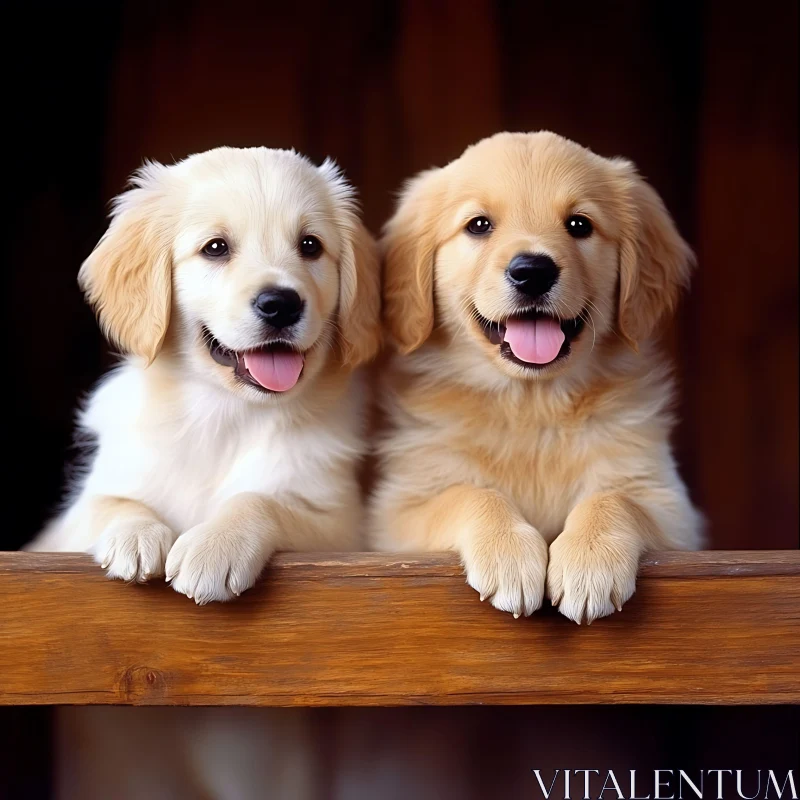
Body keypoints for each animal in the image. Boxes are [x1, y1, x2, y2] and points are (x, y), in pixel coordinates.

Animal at [29, 145, 380, 600]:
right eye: (215, 247)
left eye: (310, 245)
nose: (281, 304)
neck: (224, 413)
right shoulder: (69, 523)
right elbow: (109, 502)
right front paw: (135, 534)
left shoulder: (340, 524)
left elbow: (262, 499)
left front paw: (216, 543)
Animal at [372, 133, 704, 624]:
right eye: (479, 225)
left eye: (579, 224)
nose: (532, 271)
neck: (532, 402)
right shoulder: (398, 513)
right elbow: (469, 493)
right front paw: (507, 553)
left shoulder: (670, 507)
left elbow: (614, 499)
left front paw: (589, 561)